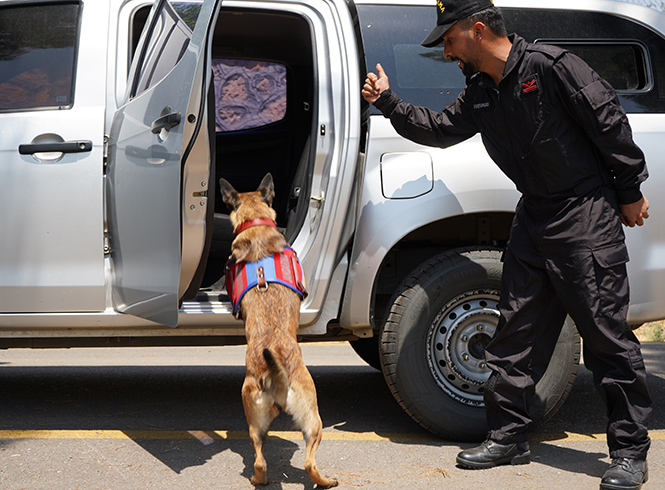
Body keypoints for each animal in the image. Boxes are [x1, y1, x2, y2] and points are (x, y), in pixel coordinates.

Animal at [220, 173, 338, 486]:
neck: (256, 224)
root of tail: (277, 375)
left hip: (266, 421)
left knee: (264, 460)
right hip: (313, 417)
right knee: (302, 462)